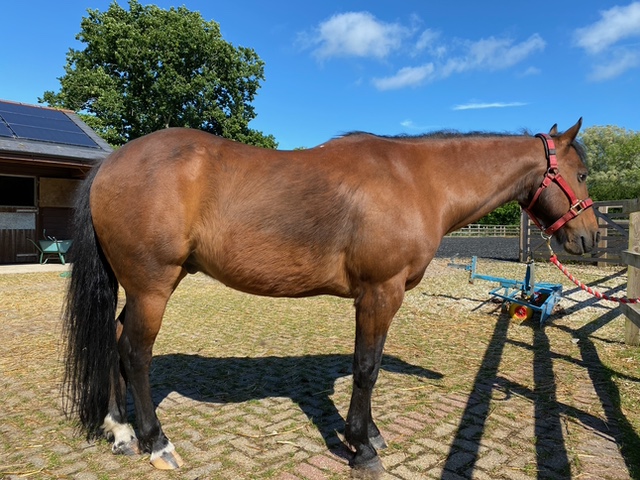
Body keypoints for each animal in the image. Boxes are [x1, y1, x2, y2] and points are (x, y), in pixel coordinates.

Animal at [62, 118, 598, 477]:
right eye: (582, 174)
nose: (592, 238)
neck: (417, 180)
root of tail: (110, 164)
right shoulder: (379, 294)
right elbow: (366, 368)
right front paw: (362, 448)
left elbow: (370, 366)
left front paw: (371, 433)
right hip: (153, 286)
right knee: (134, 352)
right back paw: (156, 442)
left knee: (113, 339)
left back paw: (121, 430)